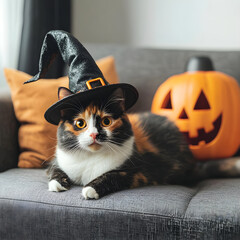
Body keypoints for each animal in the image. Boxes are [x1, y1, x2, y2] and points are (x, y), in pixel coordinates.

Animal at [47, 86, 240, 199]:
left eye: (106, 121)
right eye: (80, 123)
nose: (94, 134)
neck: (90, 159)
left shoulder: (137, 172)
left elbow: (112, 175)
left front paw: (90, 189)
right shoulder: (57, 160)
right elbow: (54, 170)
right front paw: (57, 184)